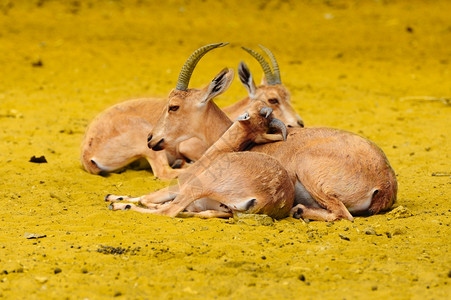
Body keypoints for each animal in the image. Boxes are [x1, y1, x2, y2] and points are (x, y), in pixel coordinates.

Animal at [107, 101, 296, 218]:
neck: (219, 151)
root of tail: (267, 197)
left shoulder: (179, 185)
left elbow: (146, 198)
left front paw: (116, 200)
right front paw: (113, 196)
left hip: (198, 186)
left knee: (169, 211)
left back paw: (122, 207)